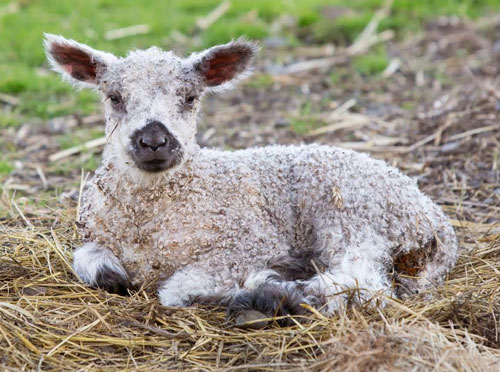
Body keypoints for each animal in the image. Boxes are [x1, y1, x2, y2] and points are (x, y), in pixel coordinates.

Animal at [45, 34, 458, 326]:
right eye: (114, 97)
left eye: (190, 97)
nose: (154, 141)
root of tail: (434, 218)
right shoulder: (95, 235)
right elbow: (89, 262)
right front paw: (111, 273)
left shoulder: (247, 243)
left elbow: (176, 290)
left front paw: (262, 283)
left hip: (353, 215)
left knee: (366, 281)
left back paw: (280, 296)